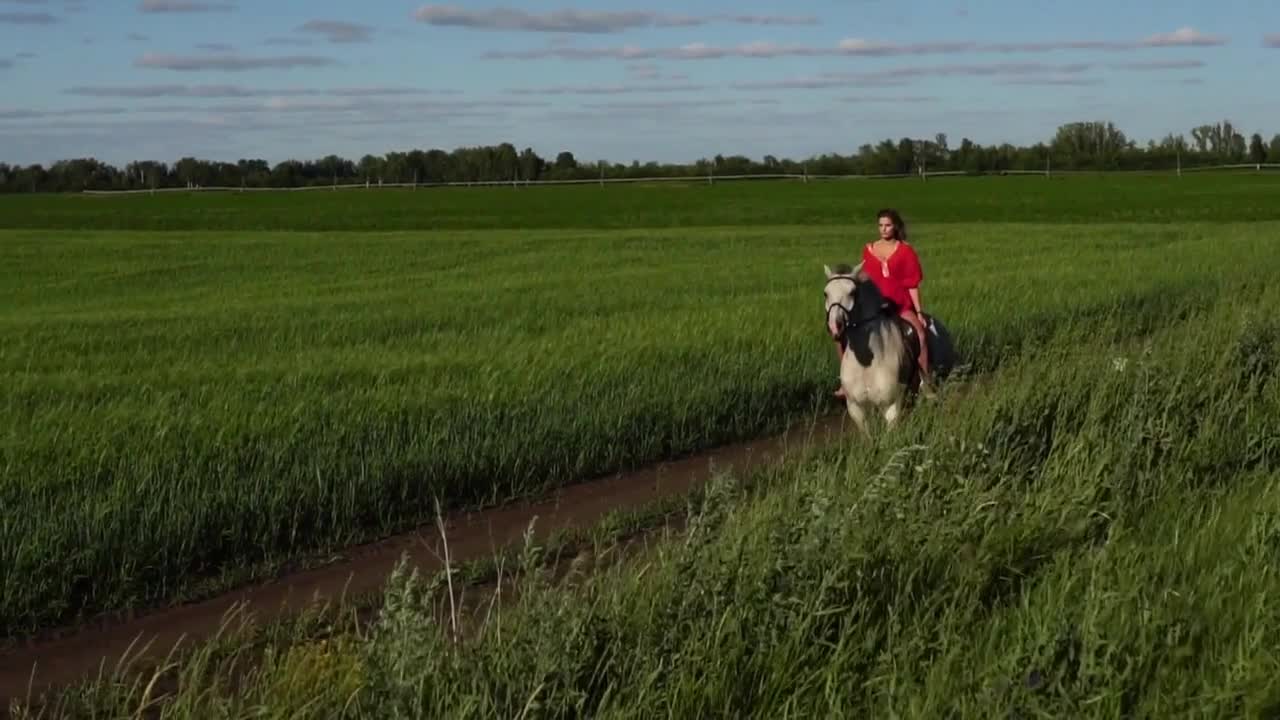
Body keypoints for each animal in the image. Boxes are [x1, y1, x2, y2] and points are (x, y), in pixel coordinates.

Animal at [824, 260, 957, 435]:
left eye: (852, 292)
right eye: (826, 293)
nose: (835, 326)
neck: (866, 362)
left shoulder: (891, 406)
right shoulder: (856, 408)